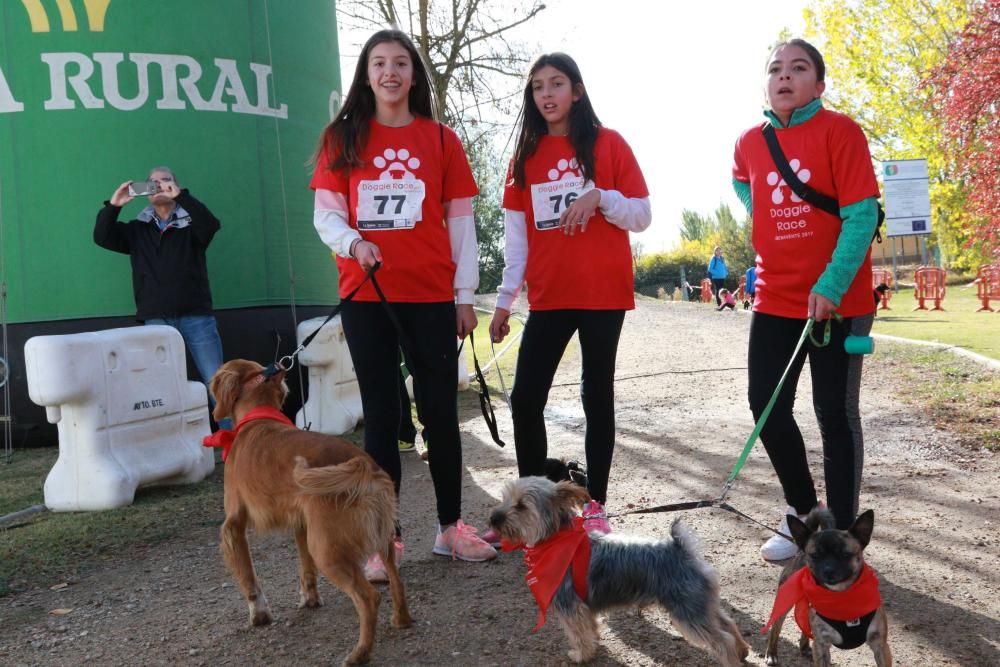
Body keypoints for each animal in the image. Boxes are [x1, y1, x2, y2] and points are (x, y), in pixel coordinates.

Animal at [488, 478, 748, 664]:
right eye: (504, 498)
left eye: (521, 506)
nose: (494, 518)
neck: (555, 539)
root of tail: (682, 549)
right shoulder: (584, 606)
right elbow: (590, 627)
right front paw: (594, 642)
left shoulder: (570, 605)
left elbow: (578, 634)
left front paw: (581, 655)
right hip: (699, 604)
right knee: (727, 622)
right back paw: (743, 650)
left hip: (687, 611)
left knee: (722, 640)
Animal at [764, 508, 892, 664]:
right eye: (815, 555)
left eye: (845, 554)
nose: (828, 570)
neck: (842, 596)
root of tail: (800, 551)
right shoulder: (822, 646)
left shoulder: (880, 646)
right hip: (784, 604)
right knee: (776, 628)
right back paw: (772, 653)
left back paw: (804, 647)